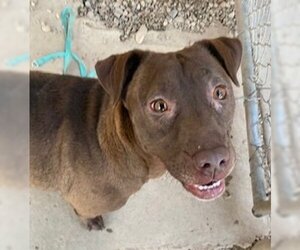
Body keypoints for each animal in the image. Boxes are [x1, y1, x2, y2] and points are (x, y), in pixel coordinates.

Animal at [30, 37, 241, 230]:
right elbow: (84, 213)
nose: (214, 160)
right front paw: (91, 221)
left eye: (220, 92)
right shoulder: (83, 202)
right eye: (159, 105)